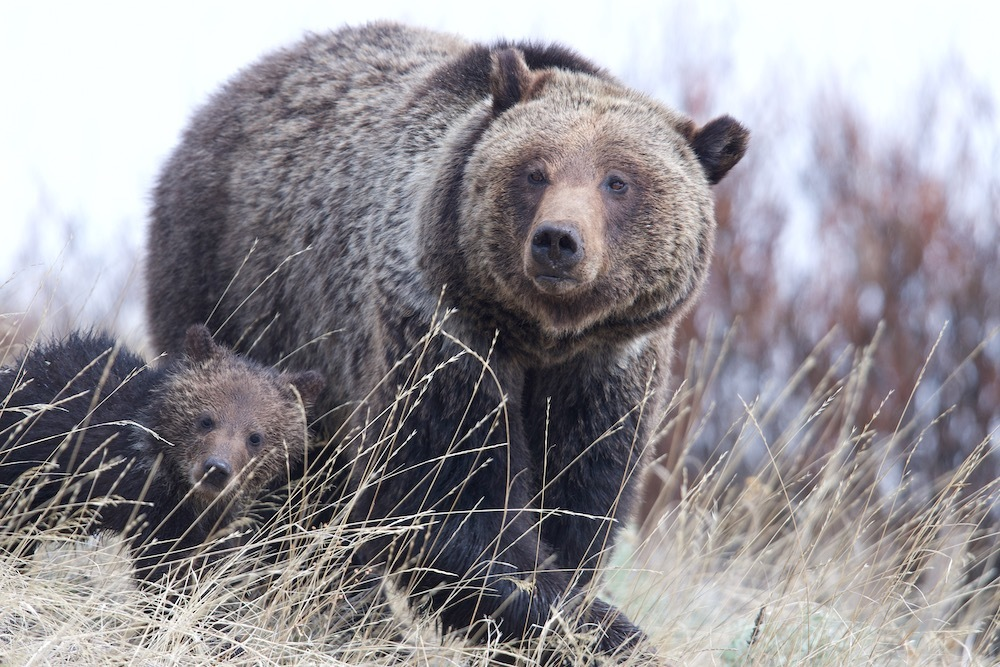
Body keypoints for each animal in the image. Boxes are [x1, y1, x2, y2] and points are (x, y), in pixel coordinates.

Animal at [0, 326, 322, 580]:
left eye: (255, 437)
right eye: (206, 419)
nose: (216, 469)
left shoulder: (213, 520)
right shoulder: (151, 506)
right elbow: (163, 568)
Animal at [145, 23, 748, 660]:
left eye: (618, 181)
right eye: (536, 170)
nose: (558, 240)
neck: (541, 335)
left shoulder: (606, 372)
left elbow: (579, 507)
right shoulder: (442, 338)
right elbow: (451, 504)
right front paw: (594, 627)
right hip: (241, 297)